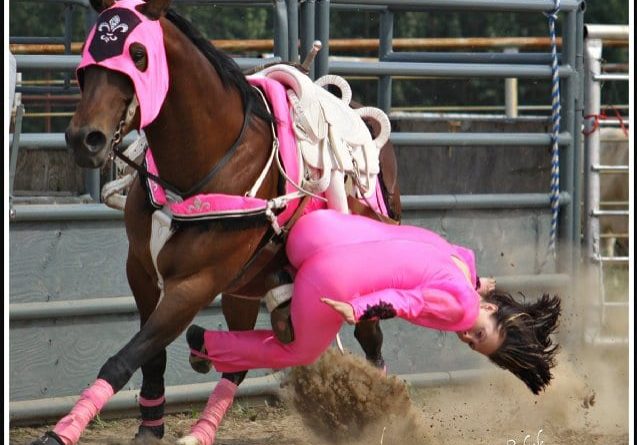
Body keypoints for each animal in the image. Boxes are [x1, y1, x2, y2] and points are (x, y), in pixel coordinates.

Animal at [31, 0, 398, 444]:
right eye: (88, 55)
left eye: (138, 55)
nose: (85, 139)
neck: (199, 166)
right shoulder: (141, 270)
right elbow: (150, 355)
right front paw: (150, 424)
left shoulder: (195, 284)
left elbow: (126, 357)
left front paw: (62, 431)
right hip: (246, 289)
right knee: (248, 357)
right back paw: (202, 403)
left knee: (371, 344)